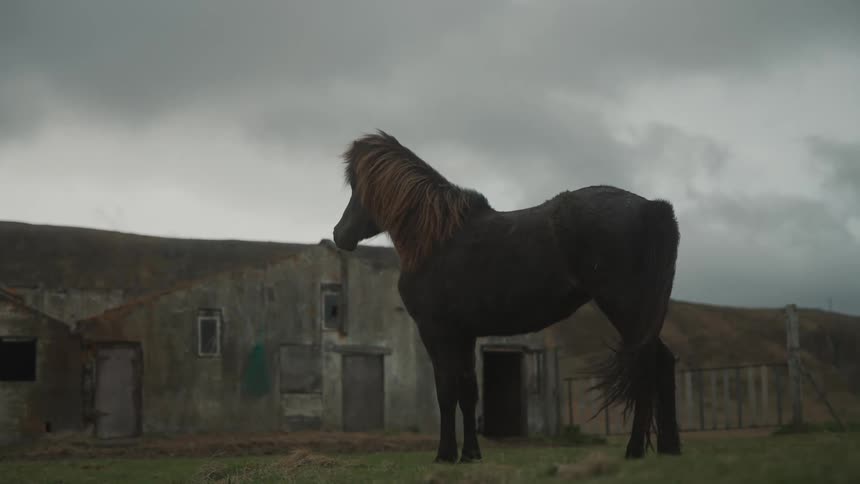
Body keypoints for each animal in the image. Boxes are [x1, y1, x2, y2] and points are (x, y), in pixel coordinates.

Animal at [332, 130, 681, 463]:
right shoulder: (465, 334)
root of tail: (652, 207)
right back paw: (670, 448)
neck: (435, 239)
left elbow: (446, 390)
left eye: (356, 189)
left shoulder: (436, 332)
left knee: (646, 365)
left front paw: (445, 454)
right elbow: (468, 391)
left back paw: (635, 450)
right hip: (643, 314)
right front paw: (470, 455)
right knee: (662, 362)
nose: (339, 234)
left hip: (626, 308)